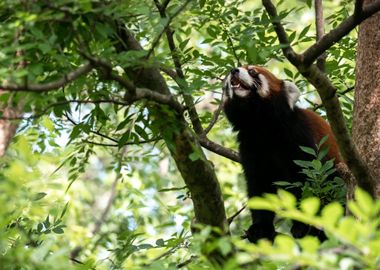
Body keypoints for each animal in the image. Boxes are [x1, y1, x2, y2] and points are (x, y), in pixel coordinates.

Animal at [223, 65, 342, 243]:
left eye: (252, 71)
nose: (234, 70)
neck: (260, 125)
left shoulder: (298, 135)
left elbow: (306, 181)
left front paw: (302, 225)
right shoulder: (250, 145)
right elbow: (259, 187)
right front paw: (260, 227)